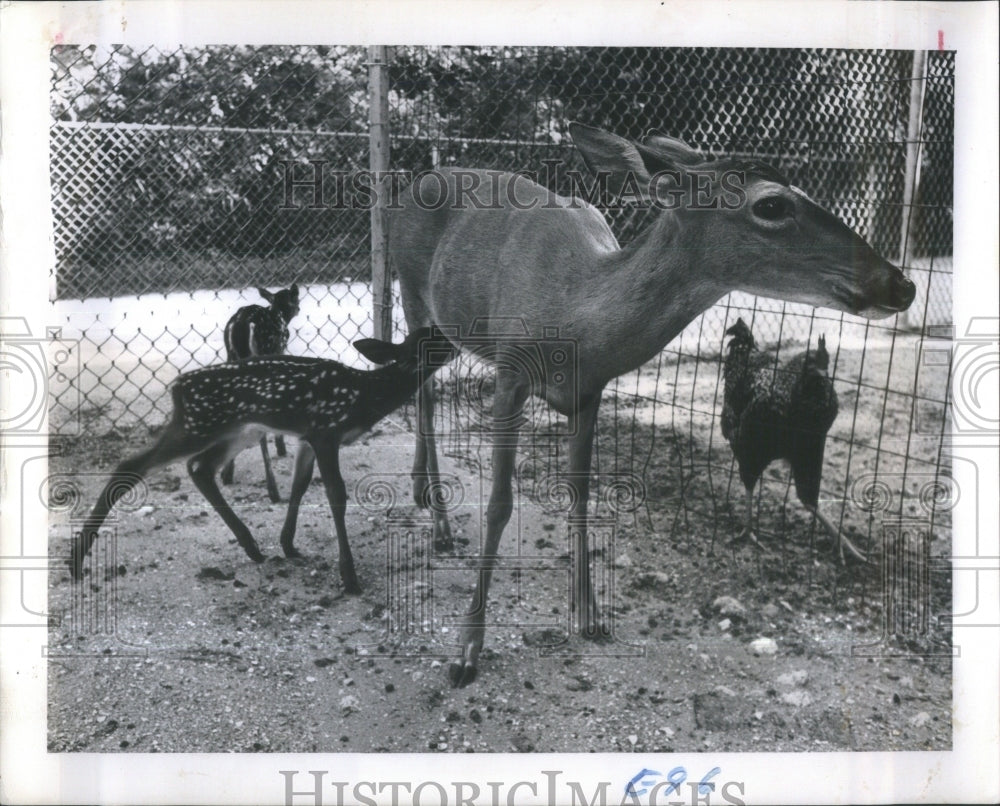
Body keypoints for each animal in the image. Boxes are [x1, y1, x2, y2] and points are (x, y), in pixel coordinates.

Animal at [388, 121, 916, 688]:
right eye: (772, 205)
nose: (902, 283)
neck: (573, 310)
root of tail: (421, 178)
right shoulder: (509, 373)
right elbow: (500, 504)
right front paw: (467, 650)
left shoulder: (591, 391)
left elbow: (581, 497)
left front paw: (590, 616)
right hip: (413, 293)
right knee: (421, 393)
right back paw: (440, 523)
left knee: (422, 388)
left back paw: (422, 493)